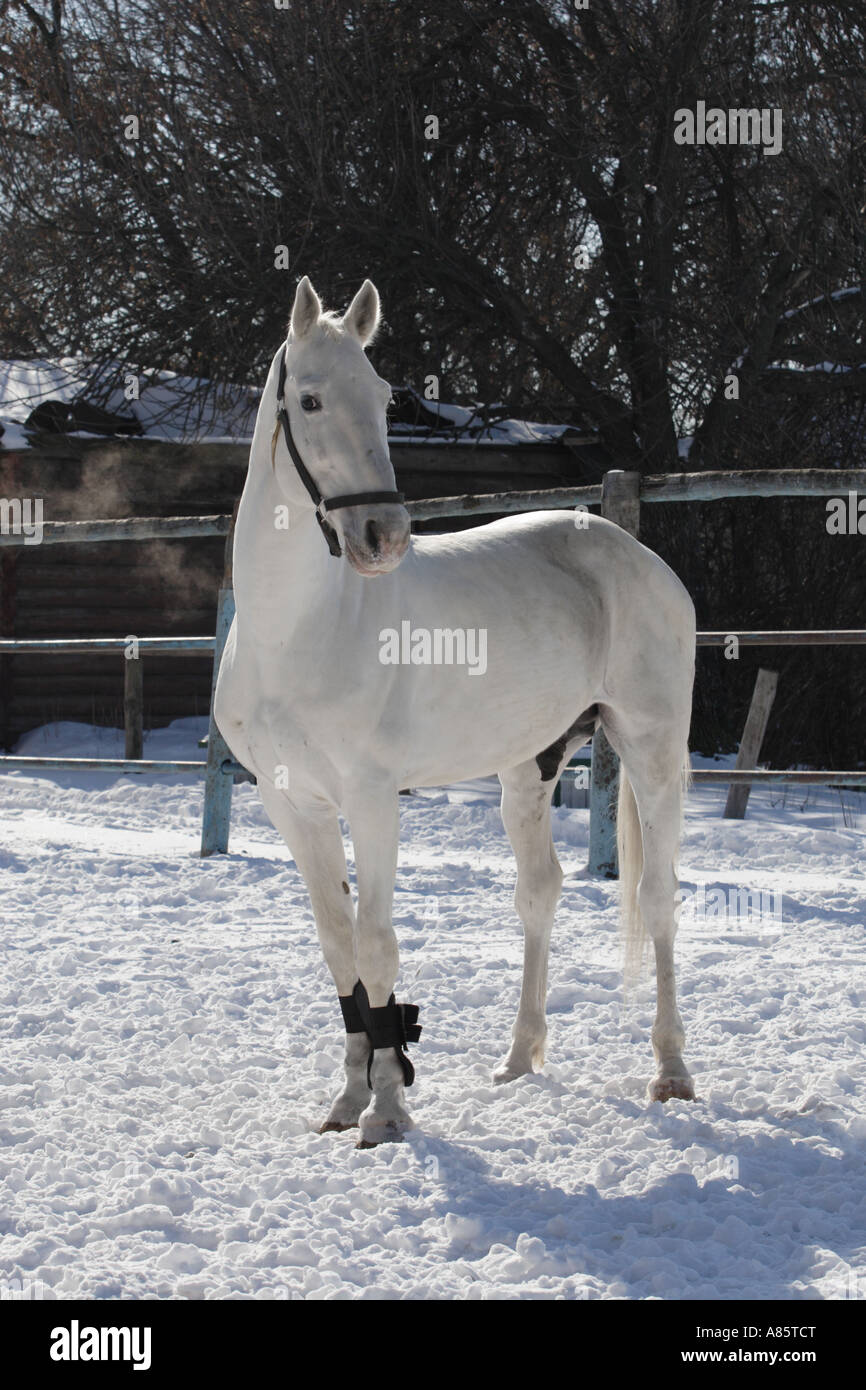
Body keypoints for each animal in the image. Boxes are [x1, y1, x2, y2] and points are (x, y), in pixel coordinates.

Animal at [214, 276, 697, 1147]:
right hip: (530, 766)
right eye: (309, 399)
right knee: (539, 891)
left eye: (381, 396)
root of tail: (635, 556)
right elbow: (339, 948)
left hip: (650, 748)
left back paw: (671, 1070)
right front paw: (347, 1100)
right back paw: (518, 1057)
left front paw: (387, 1109)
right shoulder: (292, 804)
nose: (382, 535)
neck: (298, 631)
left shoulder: (373, 801)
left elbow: (377, 945)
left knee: (657, 896)